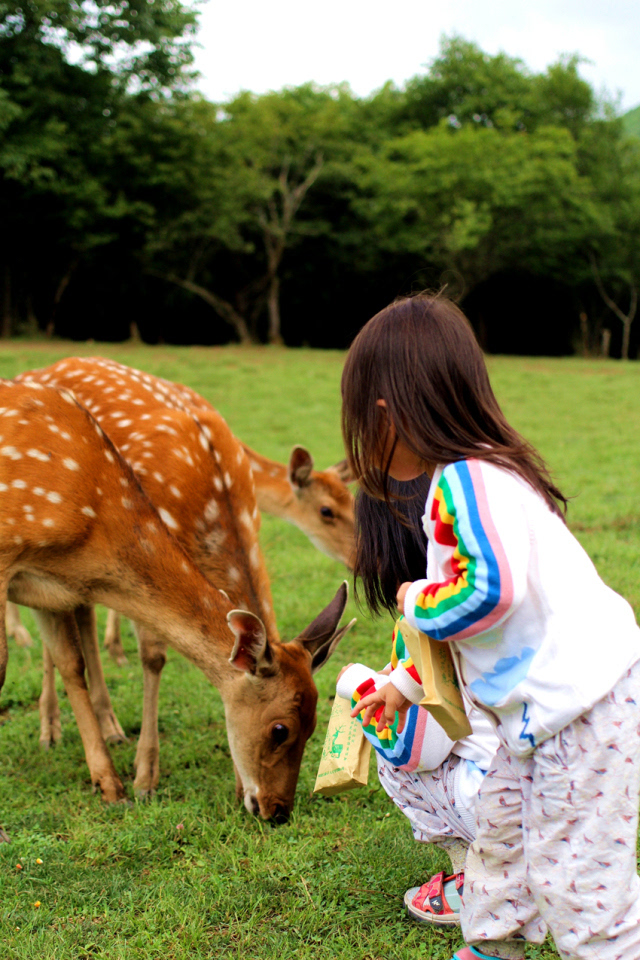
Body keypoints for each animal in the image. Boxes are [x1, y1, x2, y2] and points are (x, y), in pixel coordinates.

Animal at [0, 376, 356, 832]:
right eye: (280, 729)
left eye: (315, 725)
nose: (278, 810)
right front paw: (141, 780)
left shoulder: (53, 586)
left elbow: (71, 662)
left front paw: (109, 783)